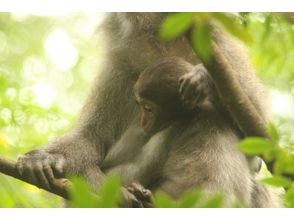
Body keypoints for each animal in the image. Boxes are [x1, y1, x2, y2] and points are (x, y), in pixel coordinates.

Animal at [16, 12, 268, 206]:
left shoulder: (222, 54)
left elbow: (256, 136)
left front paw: (205, 81)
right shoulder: (120, 66)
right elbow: (90, 139)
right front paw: (46, 158)